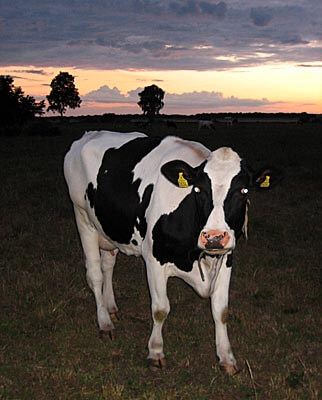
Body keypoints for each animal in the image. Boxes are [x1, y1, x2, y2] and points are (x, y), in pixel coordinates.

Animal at [63, 131, 280, 376]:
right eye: (198, 190)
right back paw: (104, 322)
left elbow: (221, 310)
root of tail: (89, 134)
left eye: (243, 191)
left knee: (108, 266)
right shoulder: (154, 260)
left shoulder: (226, 258)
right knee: (95, 275)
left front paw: (226, 357)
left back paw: (110, 308)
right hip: (83, 219)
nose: (214, 237)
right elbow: (160, 309)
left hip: (111, 229)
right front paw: (156, 352)